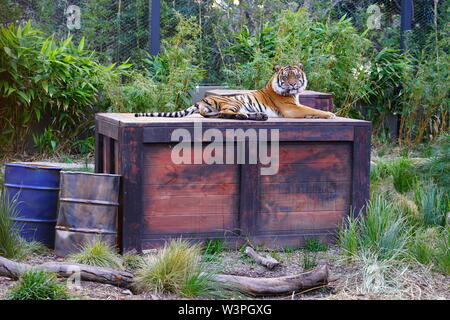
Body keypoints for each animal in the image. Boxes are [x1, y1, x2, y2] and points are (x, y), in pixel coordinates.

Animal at [135, 63, 336, 120]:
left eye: (296, 75)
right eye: (286, 77)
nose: (293, 85)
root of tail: (199, 102)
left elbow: (310, 110)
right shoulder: (290, 108)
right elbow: (312, 109)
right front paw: (330, 114)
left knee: (216, 115)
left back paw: (258, 116)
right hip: (234, 102)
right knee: (226, 114)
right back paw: (251, 117)